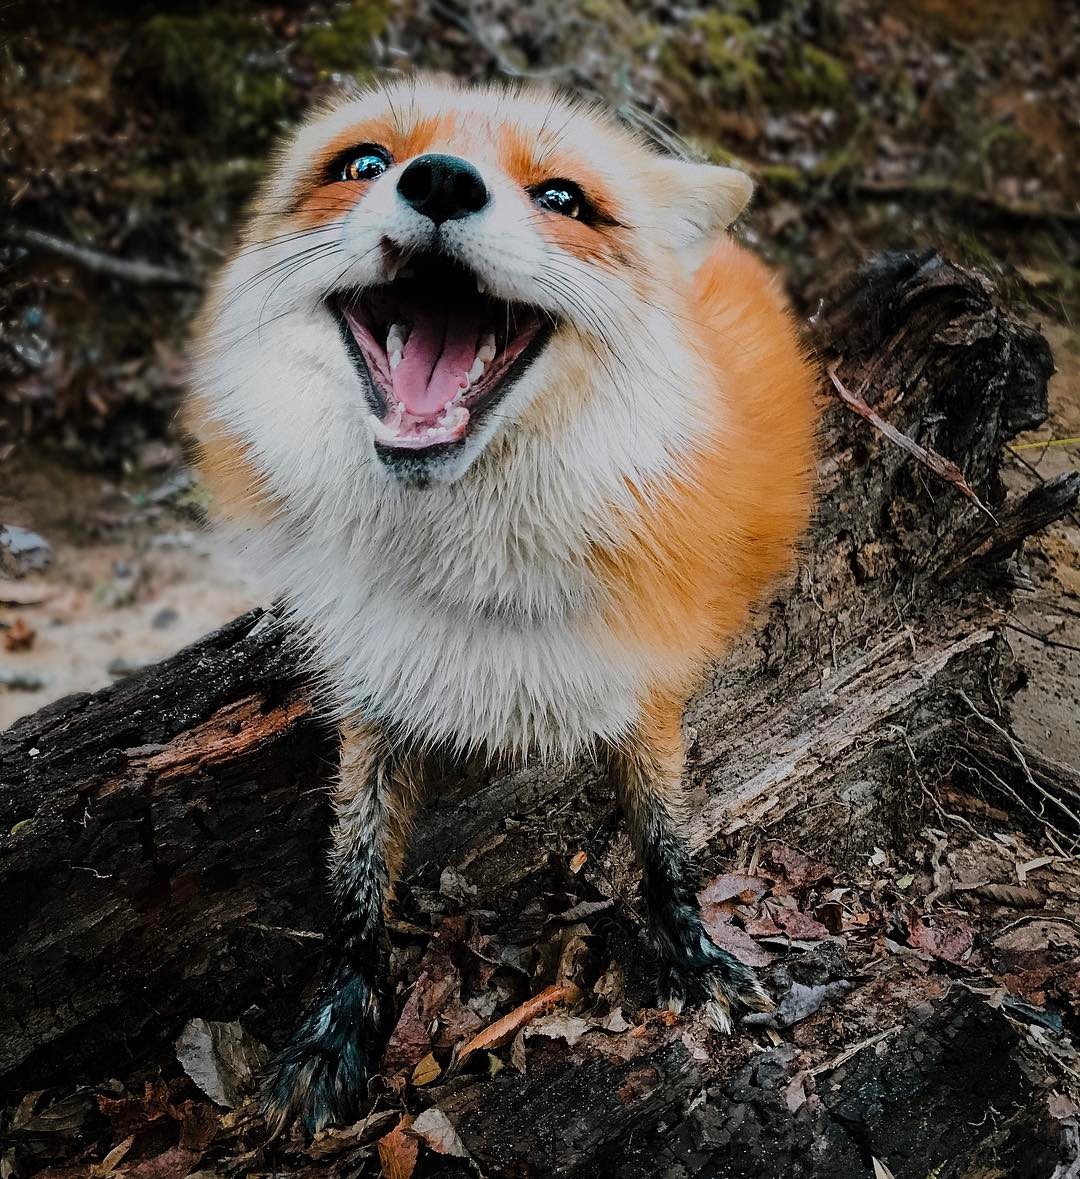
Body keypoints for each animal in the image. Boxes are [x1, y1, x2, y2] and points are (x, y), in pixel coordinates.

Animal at [181, 71, 815, 1131]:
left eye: (562, 197)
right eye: (363, 162)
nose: (439, 180)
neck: (466, 577)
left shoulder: (643, 684)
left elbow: (665, 845)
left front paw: (694, 958)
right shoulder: (373, 695)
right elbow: (355, 884)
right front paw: (332, 1032)